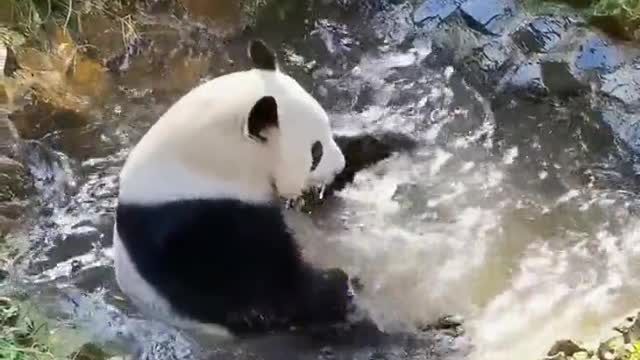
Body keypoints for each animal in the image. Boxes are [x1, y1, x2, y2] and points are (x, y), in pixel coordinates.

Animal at [114, 40, 360, 340]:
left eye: (328, 130)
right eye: (316, 152)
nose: (338, 167)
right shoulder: (200, 219)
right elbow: (253, 280)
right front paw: (334, 287)